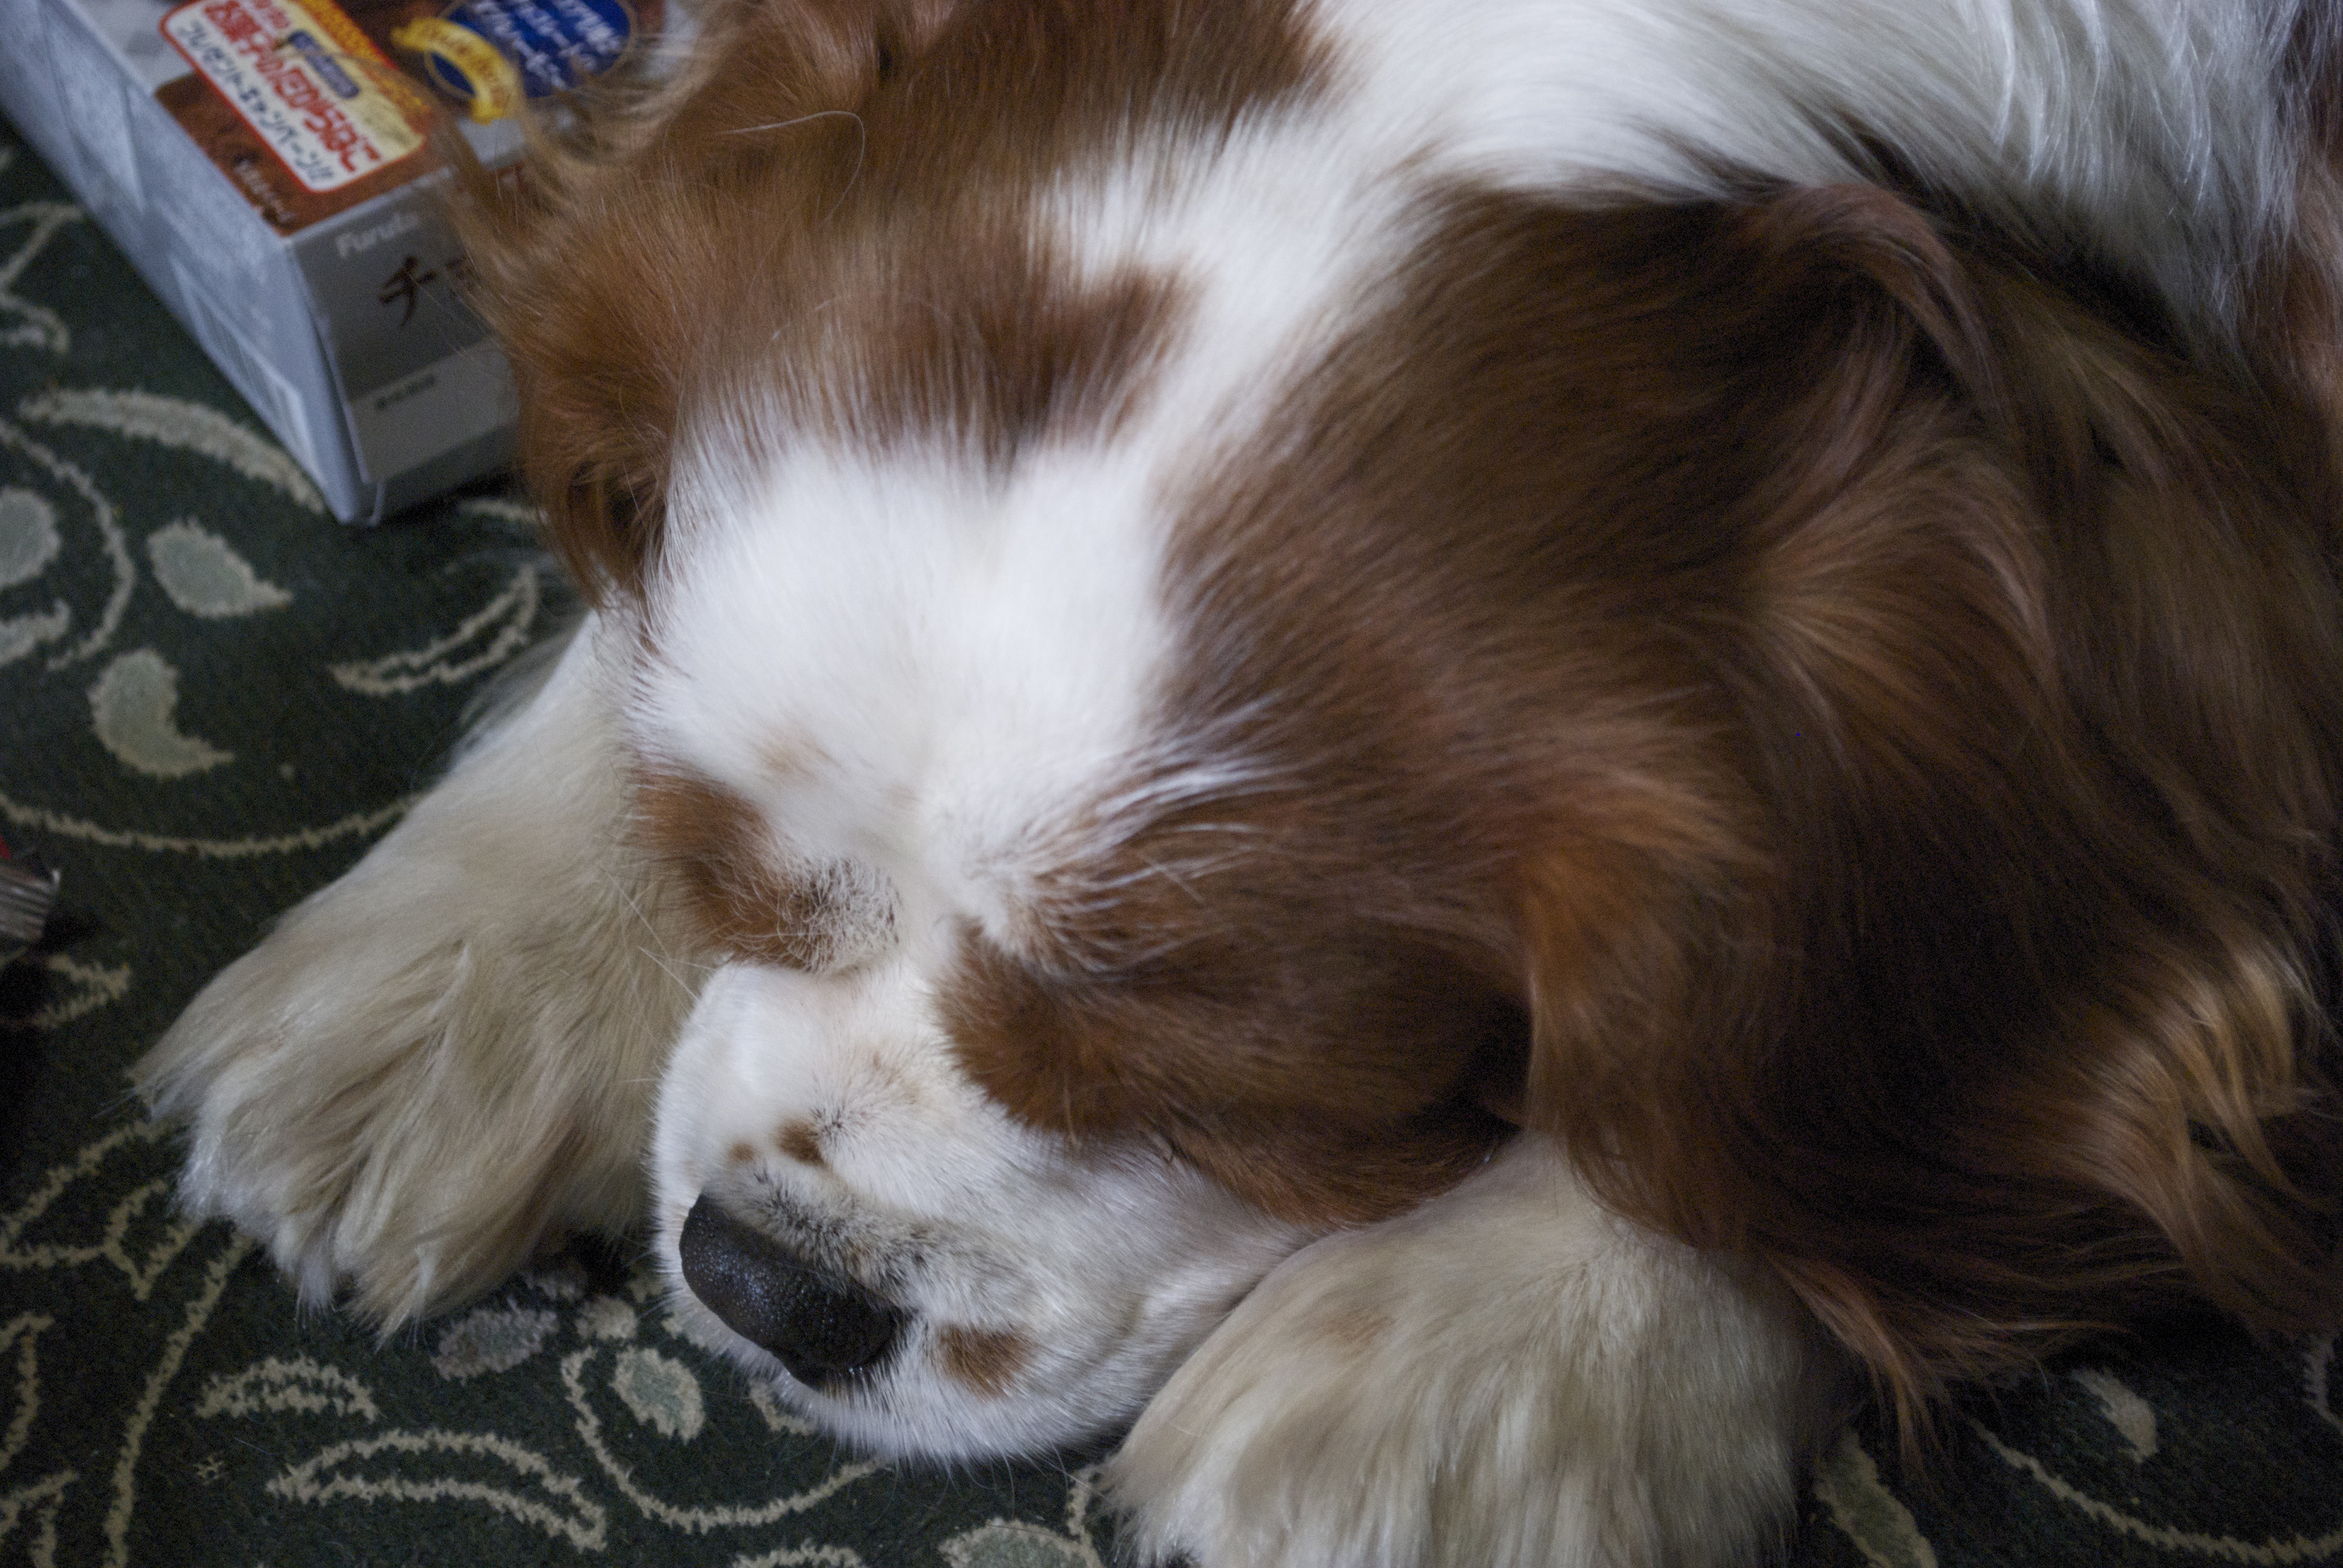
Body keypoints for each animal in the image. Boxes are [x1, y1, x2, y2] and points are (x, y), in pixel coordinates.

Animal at [141, 1, 2343, 1562]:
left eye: (1251, 1109)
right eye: (726, 879)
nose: (770, 1286)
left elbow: (1774, 1097)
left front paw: (1486, 1358)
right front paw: (466, 966)